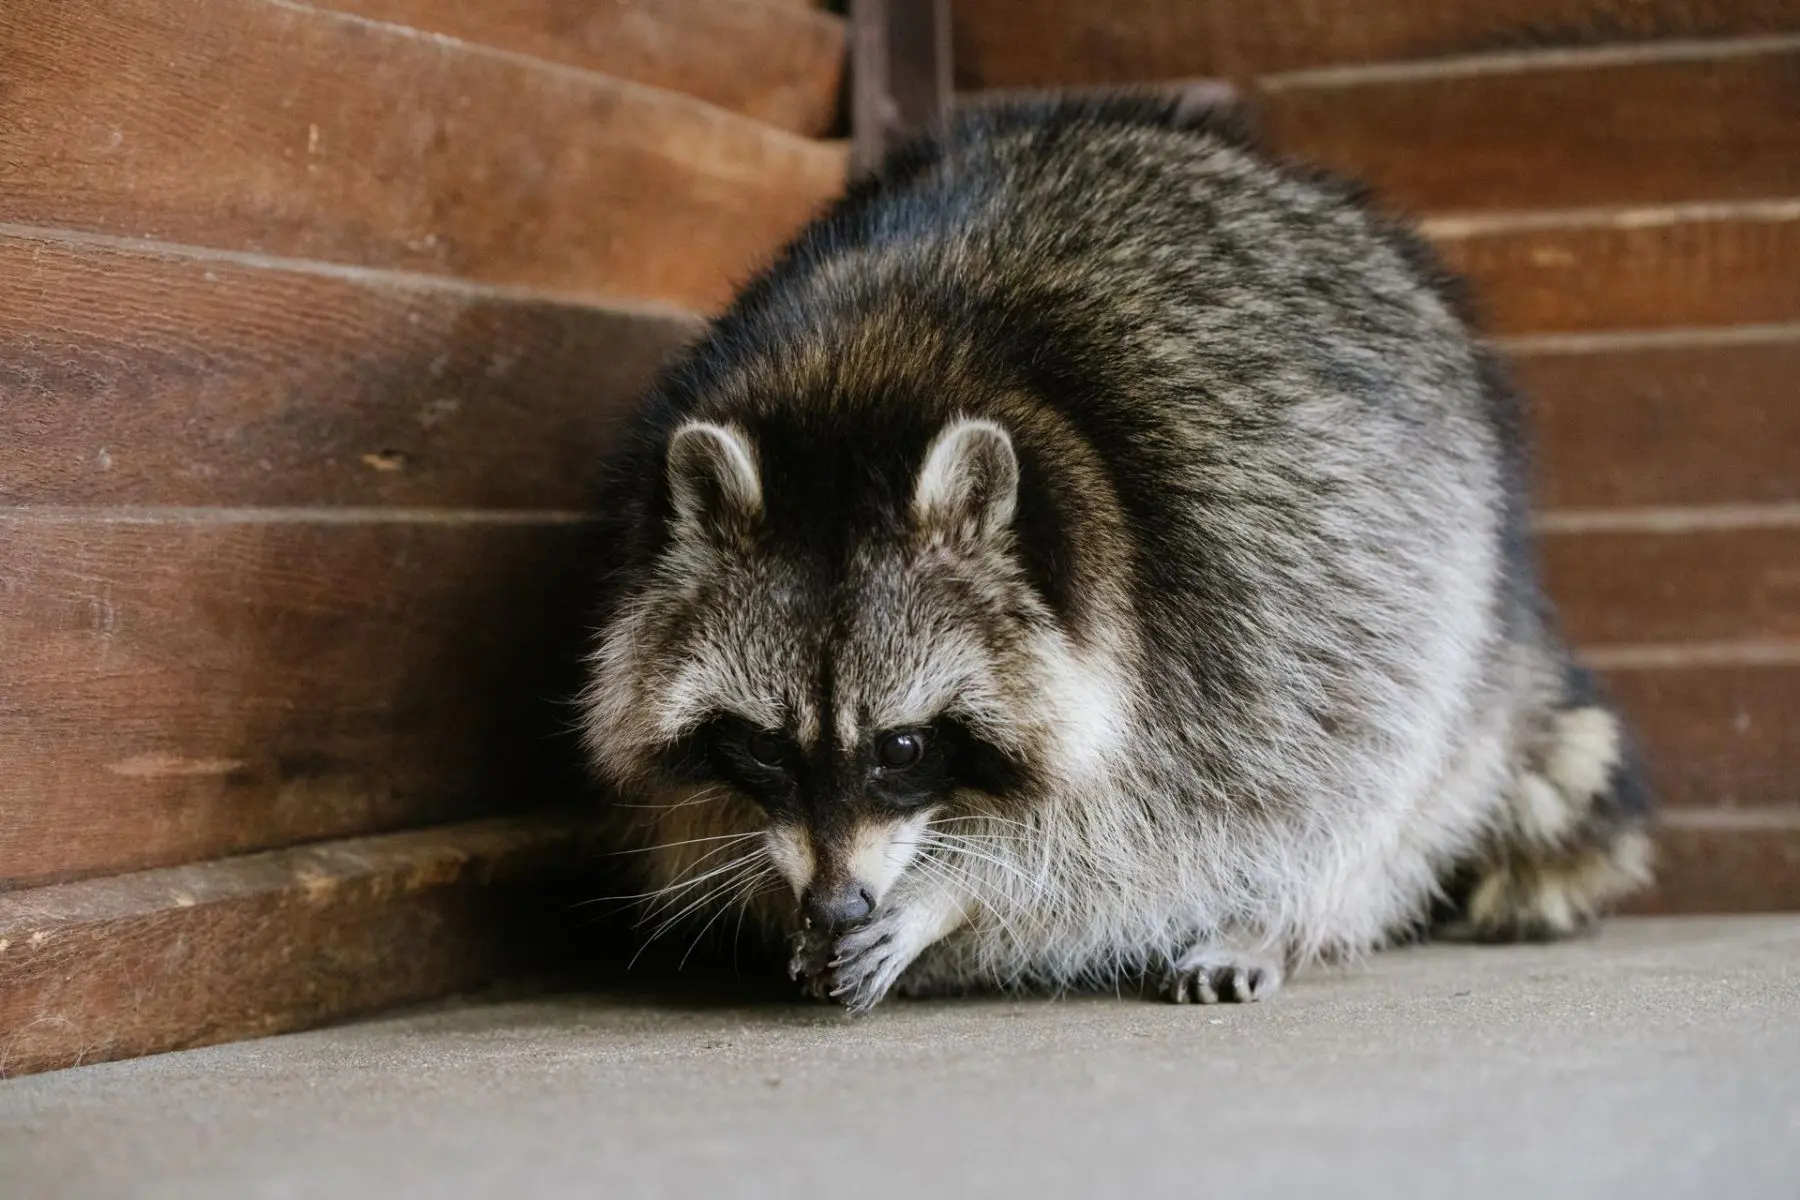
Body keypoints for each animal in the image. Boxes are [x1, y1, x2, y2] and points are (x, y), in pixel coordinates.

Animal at [578, 97, 1654, 1012]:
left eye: (904, 748)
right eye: (762, 745)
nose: (838, 903)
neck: (860, 387)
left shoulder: (1216, 611)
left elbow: (1130, 840)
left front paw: (950, 897)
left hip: (1432, 579)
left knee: (1366, 765)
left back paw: (1284, 916)